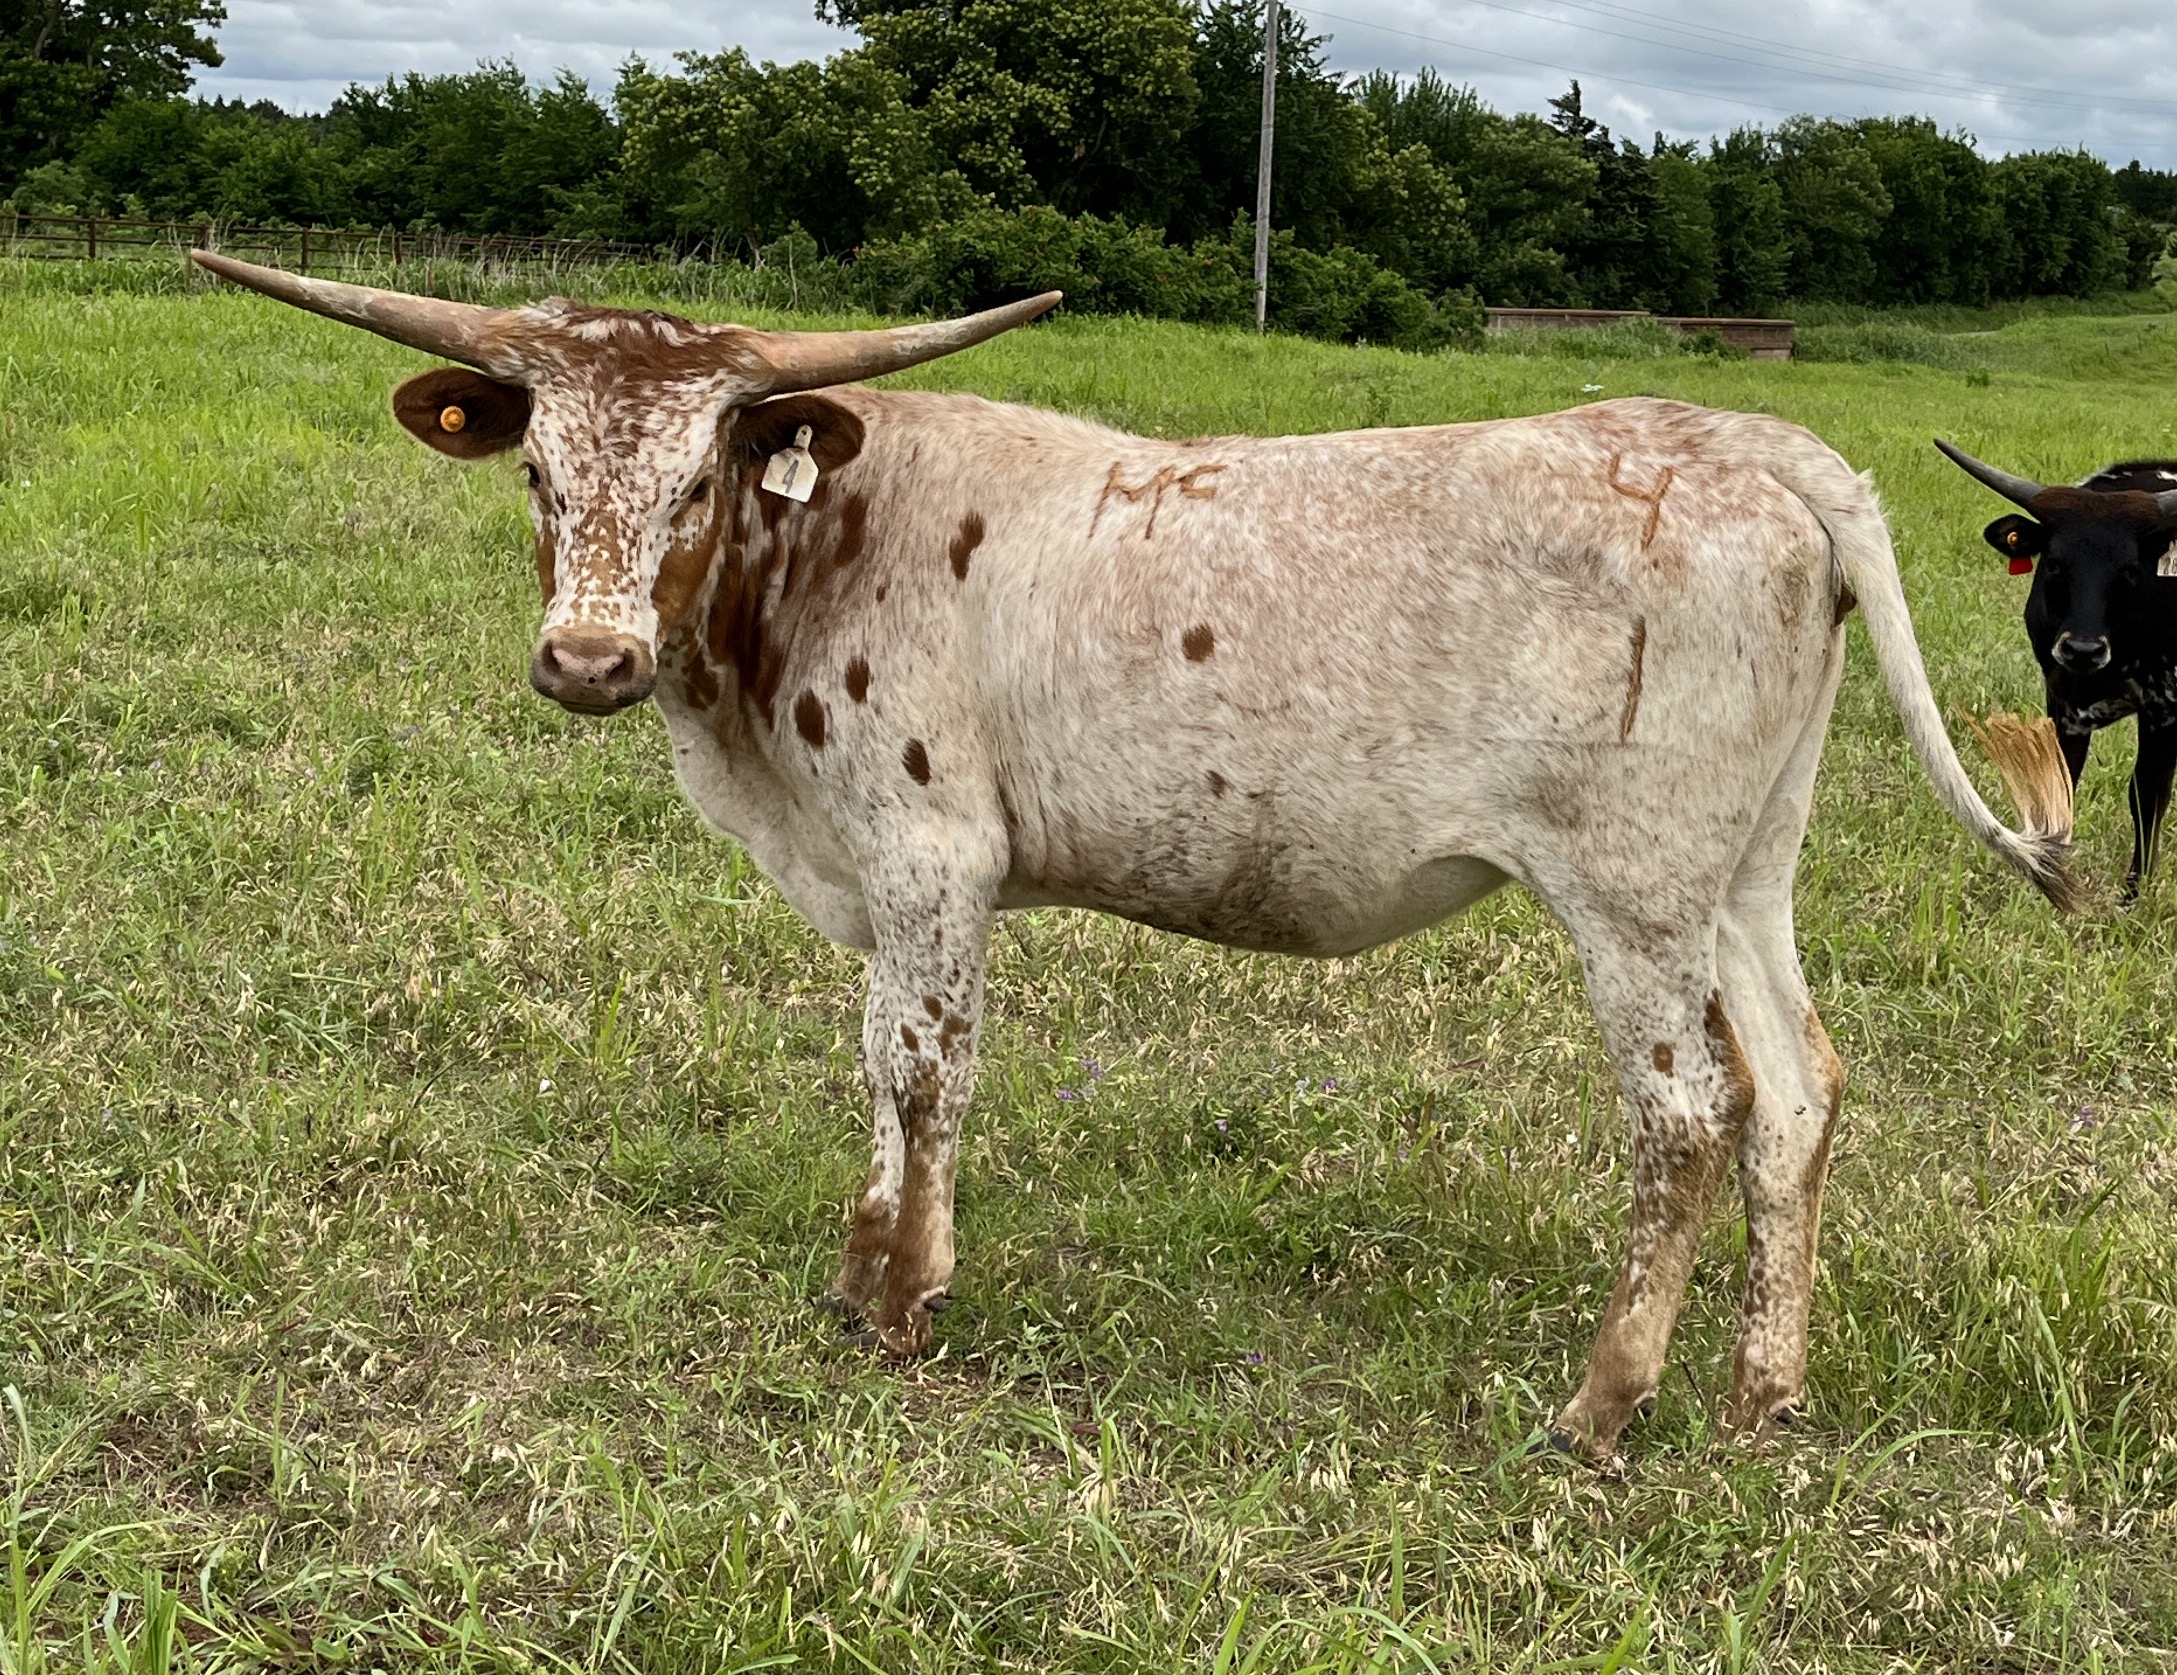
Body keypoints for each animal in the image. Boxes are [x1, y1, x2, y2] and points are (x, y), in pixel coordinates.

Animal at [194, 250, 2073, 1460]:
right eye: (534, 463)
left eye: (695, 479)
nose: (588, 661)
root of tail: (1750, 439)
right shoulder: (876, 871)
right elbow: (872, 1064)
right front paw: (860, 1273)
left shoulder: (930, 852)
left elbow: (923, 1064)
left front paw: (905, 1303)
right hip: (1741, 871)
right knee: (1799, 1091)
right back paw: (1763, 1397)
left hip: (1629, 889)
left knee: (1685, 1116)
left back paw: (1603, 1407)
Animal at [1937, 440, 2177, 899]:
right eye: (2054, 563)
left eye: (2129, 570)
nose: (2083, 649)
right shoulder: (2062, 703)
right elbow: (2062, 780)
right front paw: (2046, 876)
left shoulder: (2163, 710)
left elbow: (2147, 797)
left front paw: (2133, 895)